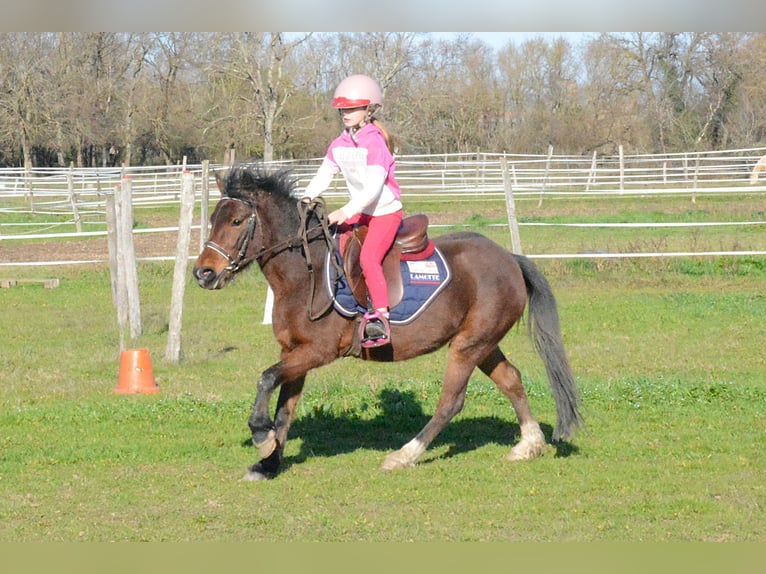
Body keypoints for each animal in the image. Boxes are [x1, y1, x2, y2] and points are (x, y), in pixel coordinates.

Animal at [193, 165, 583, 480]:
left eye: (237, 222)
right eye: (212, 220)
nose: (203, 273)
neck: (303, 275)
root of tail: (510, 258)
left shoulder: (318, 351)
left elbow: (266, 379)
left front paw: (261, 436)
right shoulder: (294, 352)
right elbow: (284, 406)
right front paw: (269, 462)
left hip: (467, 346)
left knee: (451, 401)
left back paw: (404, 455)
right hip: (482, 342)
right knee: (511, 380)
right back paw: (529, 445)